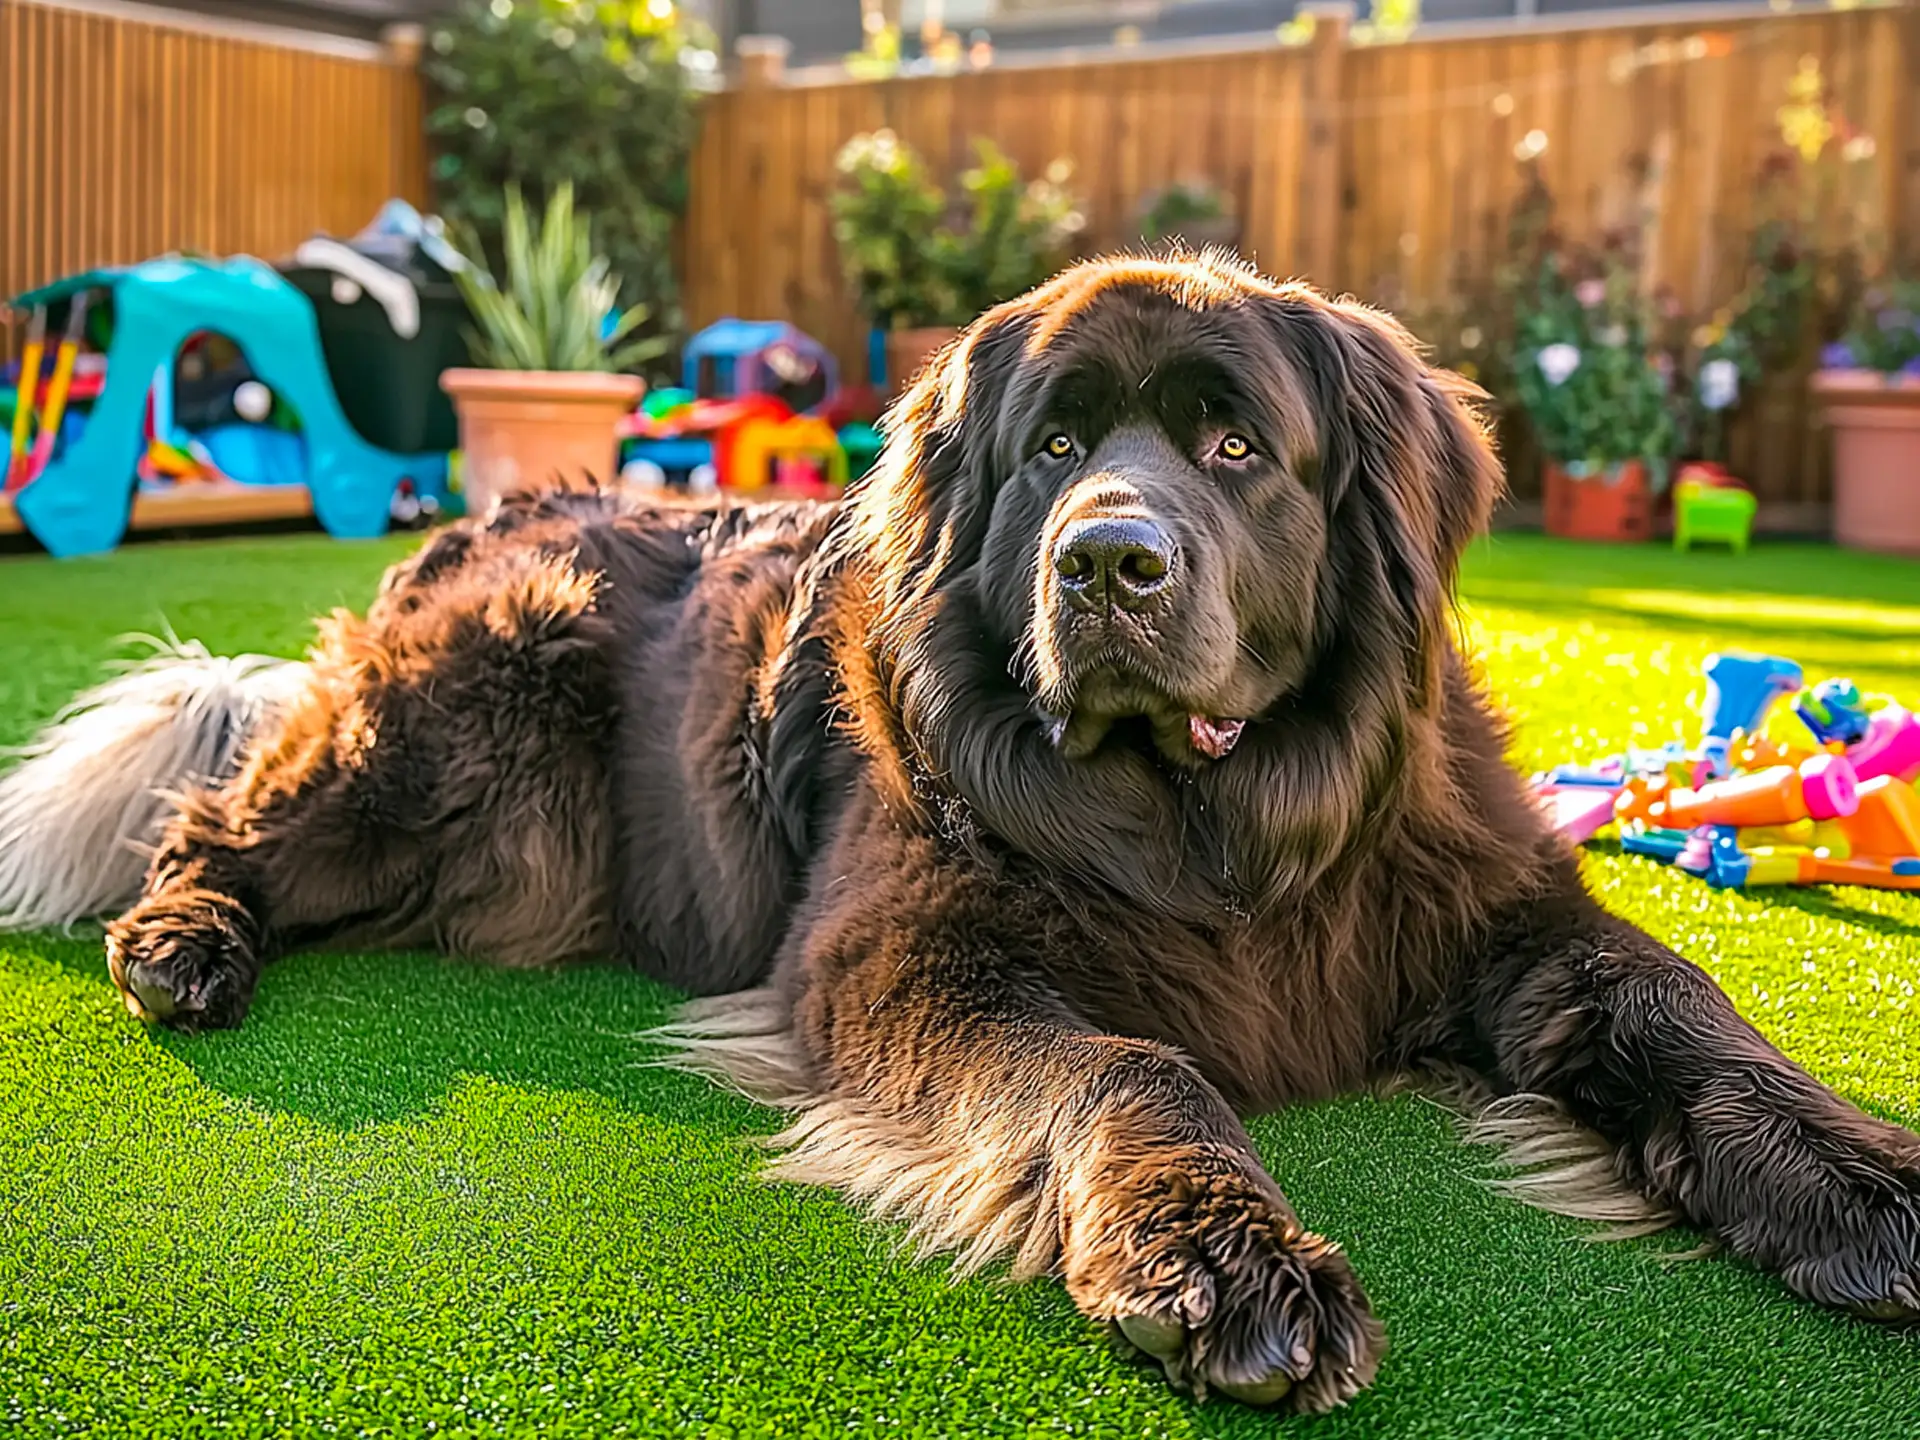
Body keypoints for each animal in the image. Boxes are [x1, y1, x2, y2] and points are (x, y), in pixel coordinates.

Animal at [0, 257, 1912, 1413]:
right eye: (1055, 446)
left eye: (1237, 446)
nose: (1110, 560)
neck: (1204, 826)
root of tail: (494, 512)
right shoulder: (900, 953)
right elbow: (1132, 1062)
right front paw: (1219, 1255)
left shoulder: (1489, 904)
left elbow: (1682, 1007)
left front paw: (1861, 1177)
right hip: (446, 737)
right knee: (224, 810)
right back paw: (183, 940)